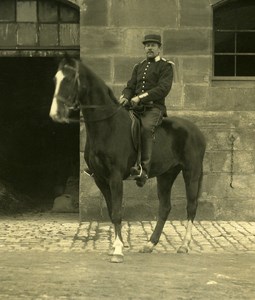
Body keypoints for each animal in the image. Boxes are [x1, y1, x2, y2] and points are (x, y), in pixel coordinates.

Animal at [48, 56, 206, 262]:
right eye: (55, 79)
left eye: (68, 80)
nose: (55, 114)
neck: (107, 126)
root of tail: (197, 131)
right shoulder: (101, 179)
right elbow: (111, 211)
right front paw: (116, 246)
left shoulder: (115, 177)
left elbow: (117, 212)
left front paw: (117, 250)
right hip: (166, 175)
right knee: (165, 207)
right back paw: (149, 244)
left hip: (191, 172)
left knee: (191, 206)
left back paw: (184, 245)